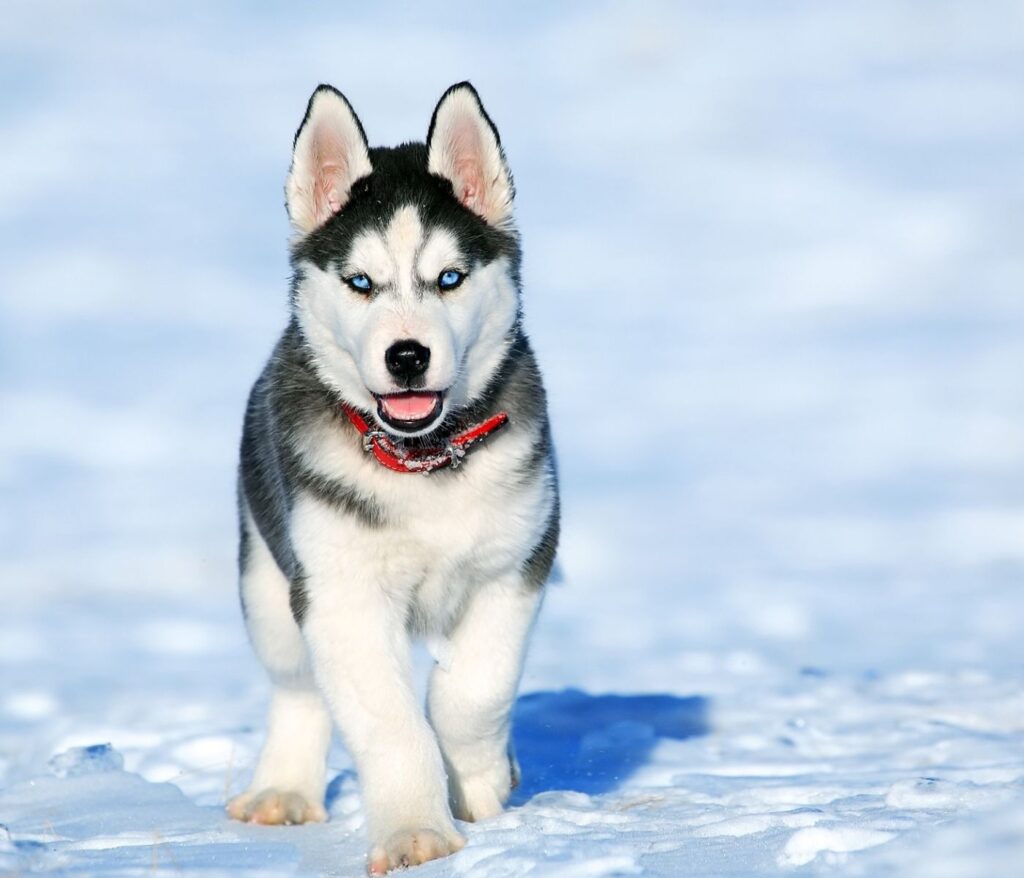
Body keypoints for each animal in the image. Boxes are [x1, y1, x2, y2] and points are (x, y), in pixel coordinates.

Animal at [227, 80, 561, 868]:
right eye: (360, 282)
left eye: (449, 279)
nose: (407, 356)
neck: (422, 462)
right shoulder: (340, 593)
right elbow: (388, 720)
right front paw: (417, 830)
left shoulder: (516, 563)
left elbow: (474, 692)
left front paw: (479, 780)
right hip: (267, 579)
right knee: (298, 687)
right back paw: (282, 789)